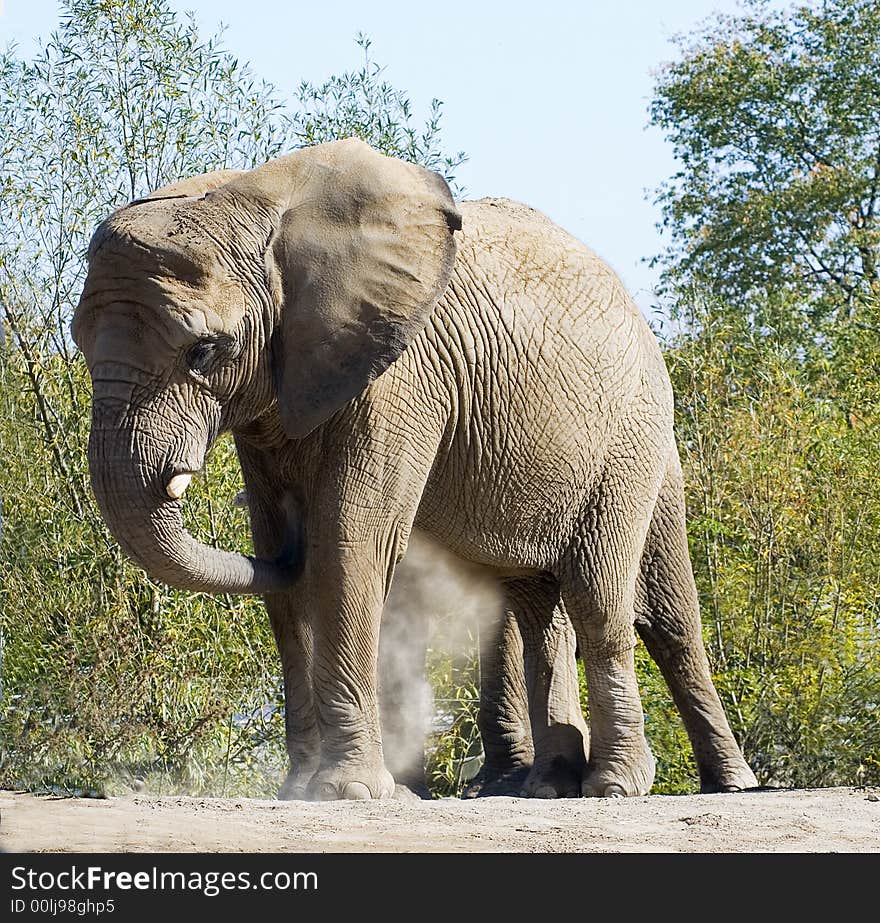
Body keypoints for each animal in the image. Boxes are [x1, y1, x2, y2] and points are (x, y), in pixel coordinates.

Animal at [72, 137, 756, 800]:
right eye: (78, 343)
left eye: (206, 350)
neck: (256, 205)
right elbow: (280, 555)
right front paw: (301, 790)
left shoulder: (403, 376)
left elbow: (351, 536)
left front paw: (349, 793)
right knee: (540, 599)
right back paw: (550, 785)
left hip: (631, 434)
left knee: (618, 600)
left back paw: (638, 786)